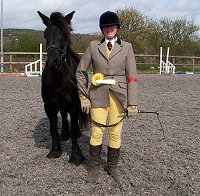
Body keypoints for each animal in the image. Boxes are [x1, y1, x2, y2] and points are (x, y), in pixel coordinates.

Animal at [37, 11, 87, 165]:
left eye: (64, 35)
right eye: (45, 34)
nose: (53, 62)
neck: (59, 78)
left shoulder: (74, 105)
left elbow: (73, 128)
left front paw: (76, 156)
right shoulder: (49, 106)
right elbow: (53, 128)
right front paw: (55, 151)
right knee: (64, 116)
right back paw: (64, 134)